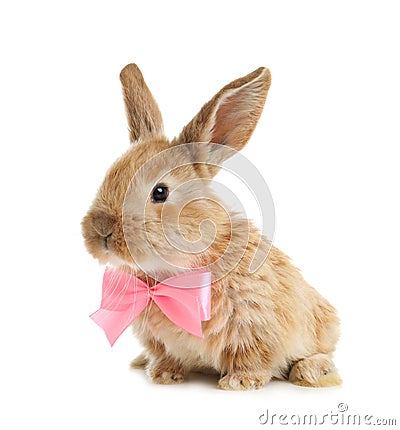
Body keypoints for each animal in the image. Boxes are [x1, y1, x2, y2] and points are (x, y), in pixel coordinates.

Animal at [82, 63, 340, 390]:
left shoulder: (254, 323)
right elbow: (166, 355)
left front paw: (239, 382)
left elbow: (253, 356)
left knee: (322, 352)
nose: (101, 230)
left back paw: (310, 372)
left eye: (160, 192)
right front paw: (163, 375)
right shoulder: (158, 340)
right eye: (108, 176)